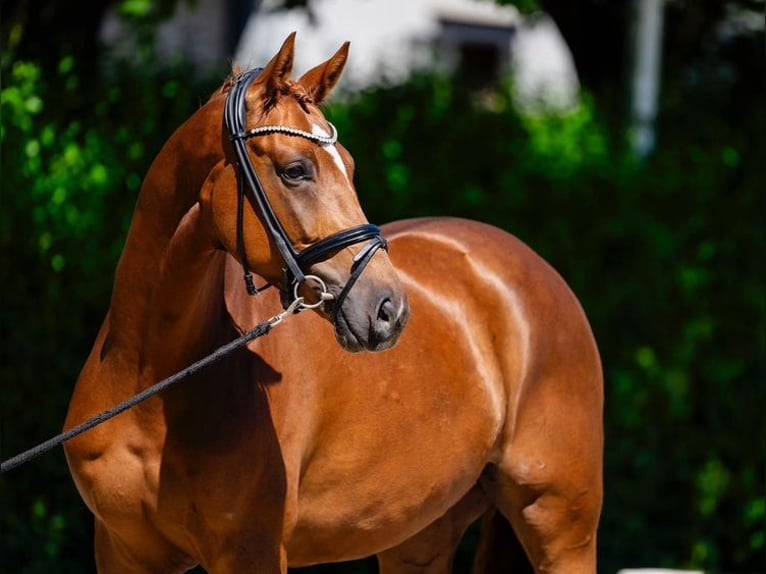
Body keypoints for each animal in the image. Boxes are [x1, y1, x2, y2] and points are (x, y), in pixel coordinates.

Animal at [63, 33, 603, 573]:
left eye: (350, 165)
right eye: (295, 170)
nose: (388, 311)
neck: (149, 381)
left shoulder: (251, 550)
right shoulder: (121, 551)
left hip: (561, 527)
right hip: (420, 535)